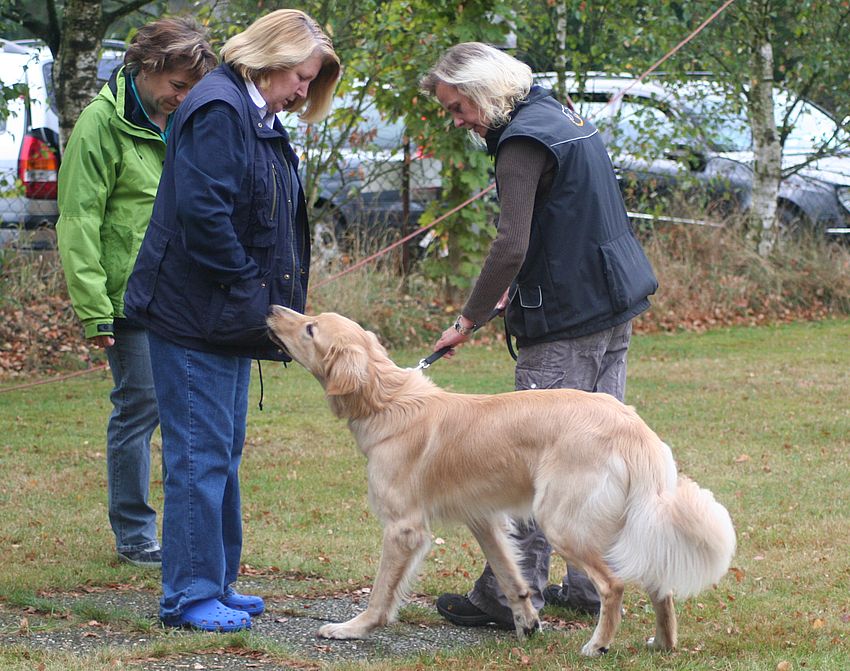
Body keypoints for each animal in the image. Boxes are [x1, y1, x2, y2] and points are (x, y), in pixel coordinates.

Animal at [266, 306, 736, 657]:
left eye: (310, 328)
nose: (273, 308)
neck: (387, 400)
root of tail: (631, 425)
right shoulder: (485, 519)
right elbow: (513, 579)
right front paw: (527, 623)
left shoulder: (404, 528)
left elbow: (381, 591)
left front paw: (354, 627)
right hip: (623, 521)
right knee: (660, 584)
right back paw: (663, 643)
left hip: (562, 521)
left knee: (614, 584)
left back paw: (598, 645)